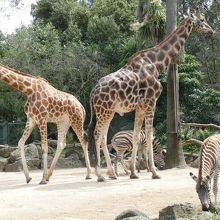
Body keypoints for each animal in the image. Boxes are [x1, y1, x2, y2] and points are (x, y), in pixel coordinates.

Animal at [87, 8, 213, 181]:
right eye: (201, 20)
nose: (211, 31)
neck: (156, 64)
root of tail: (93, 92)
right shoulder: (151, 101)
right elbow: (149, 134)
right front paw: (154, 172)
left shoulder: (140, 105)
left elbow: (136, 136)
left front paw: (134, 172)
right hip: (104, 110)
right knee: (97, 135)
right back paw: (100, 175)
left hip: (108, 112)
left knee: (104, 136)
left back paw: (112, 174)